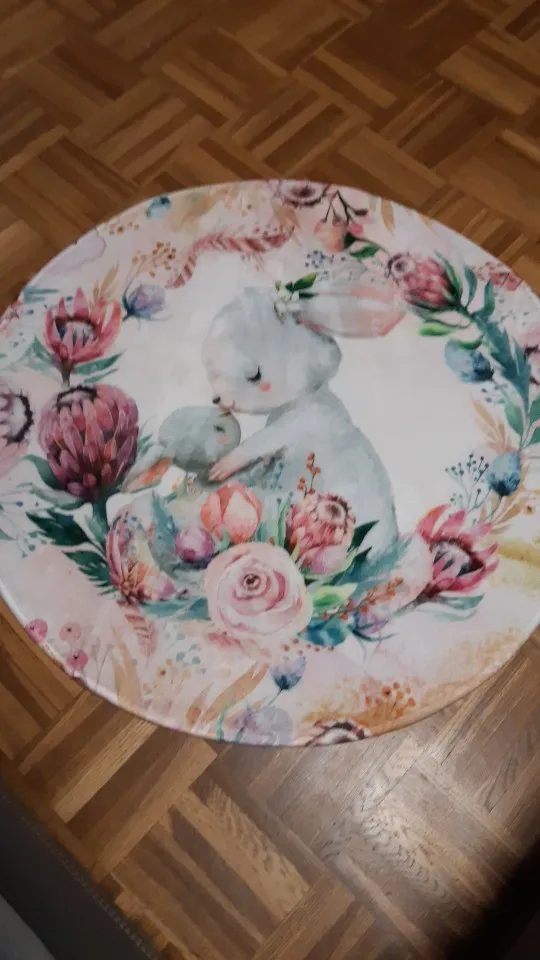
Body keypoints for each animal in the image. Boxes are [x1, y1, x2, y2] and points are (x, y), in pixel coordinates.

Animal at [202, 287, 399, 556]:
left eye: (255, 376)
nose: (217, 399)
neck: (304, 397)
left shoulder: (295, 423)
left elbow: (259, 443)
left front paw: (222, 467)